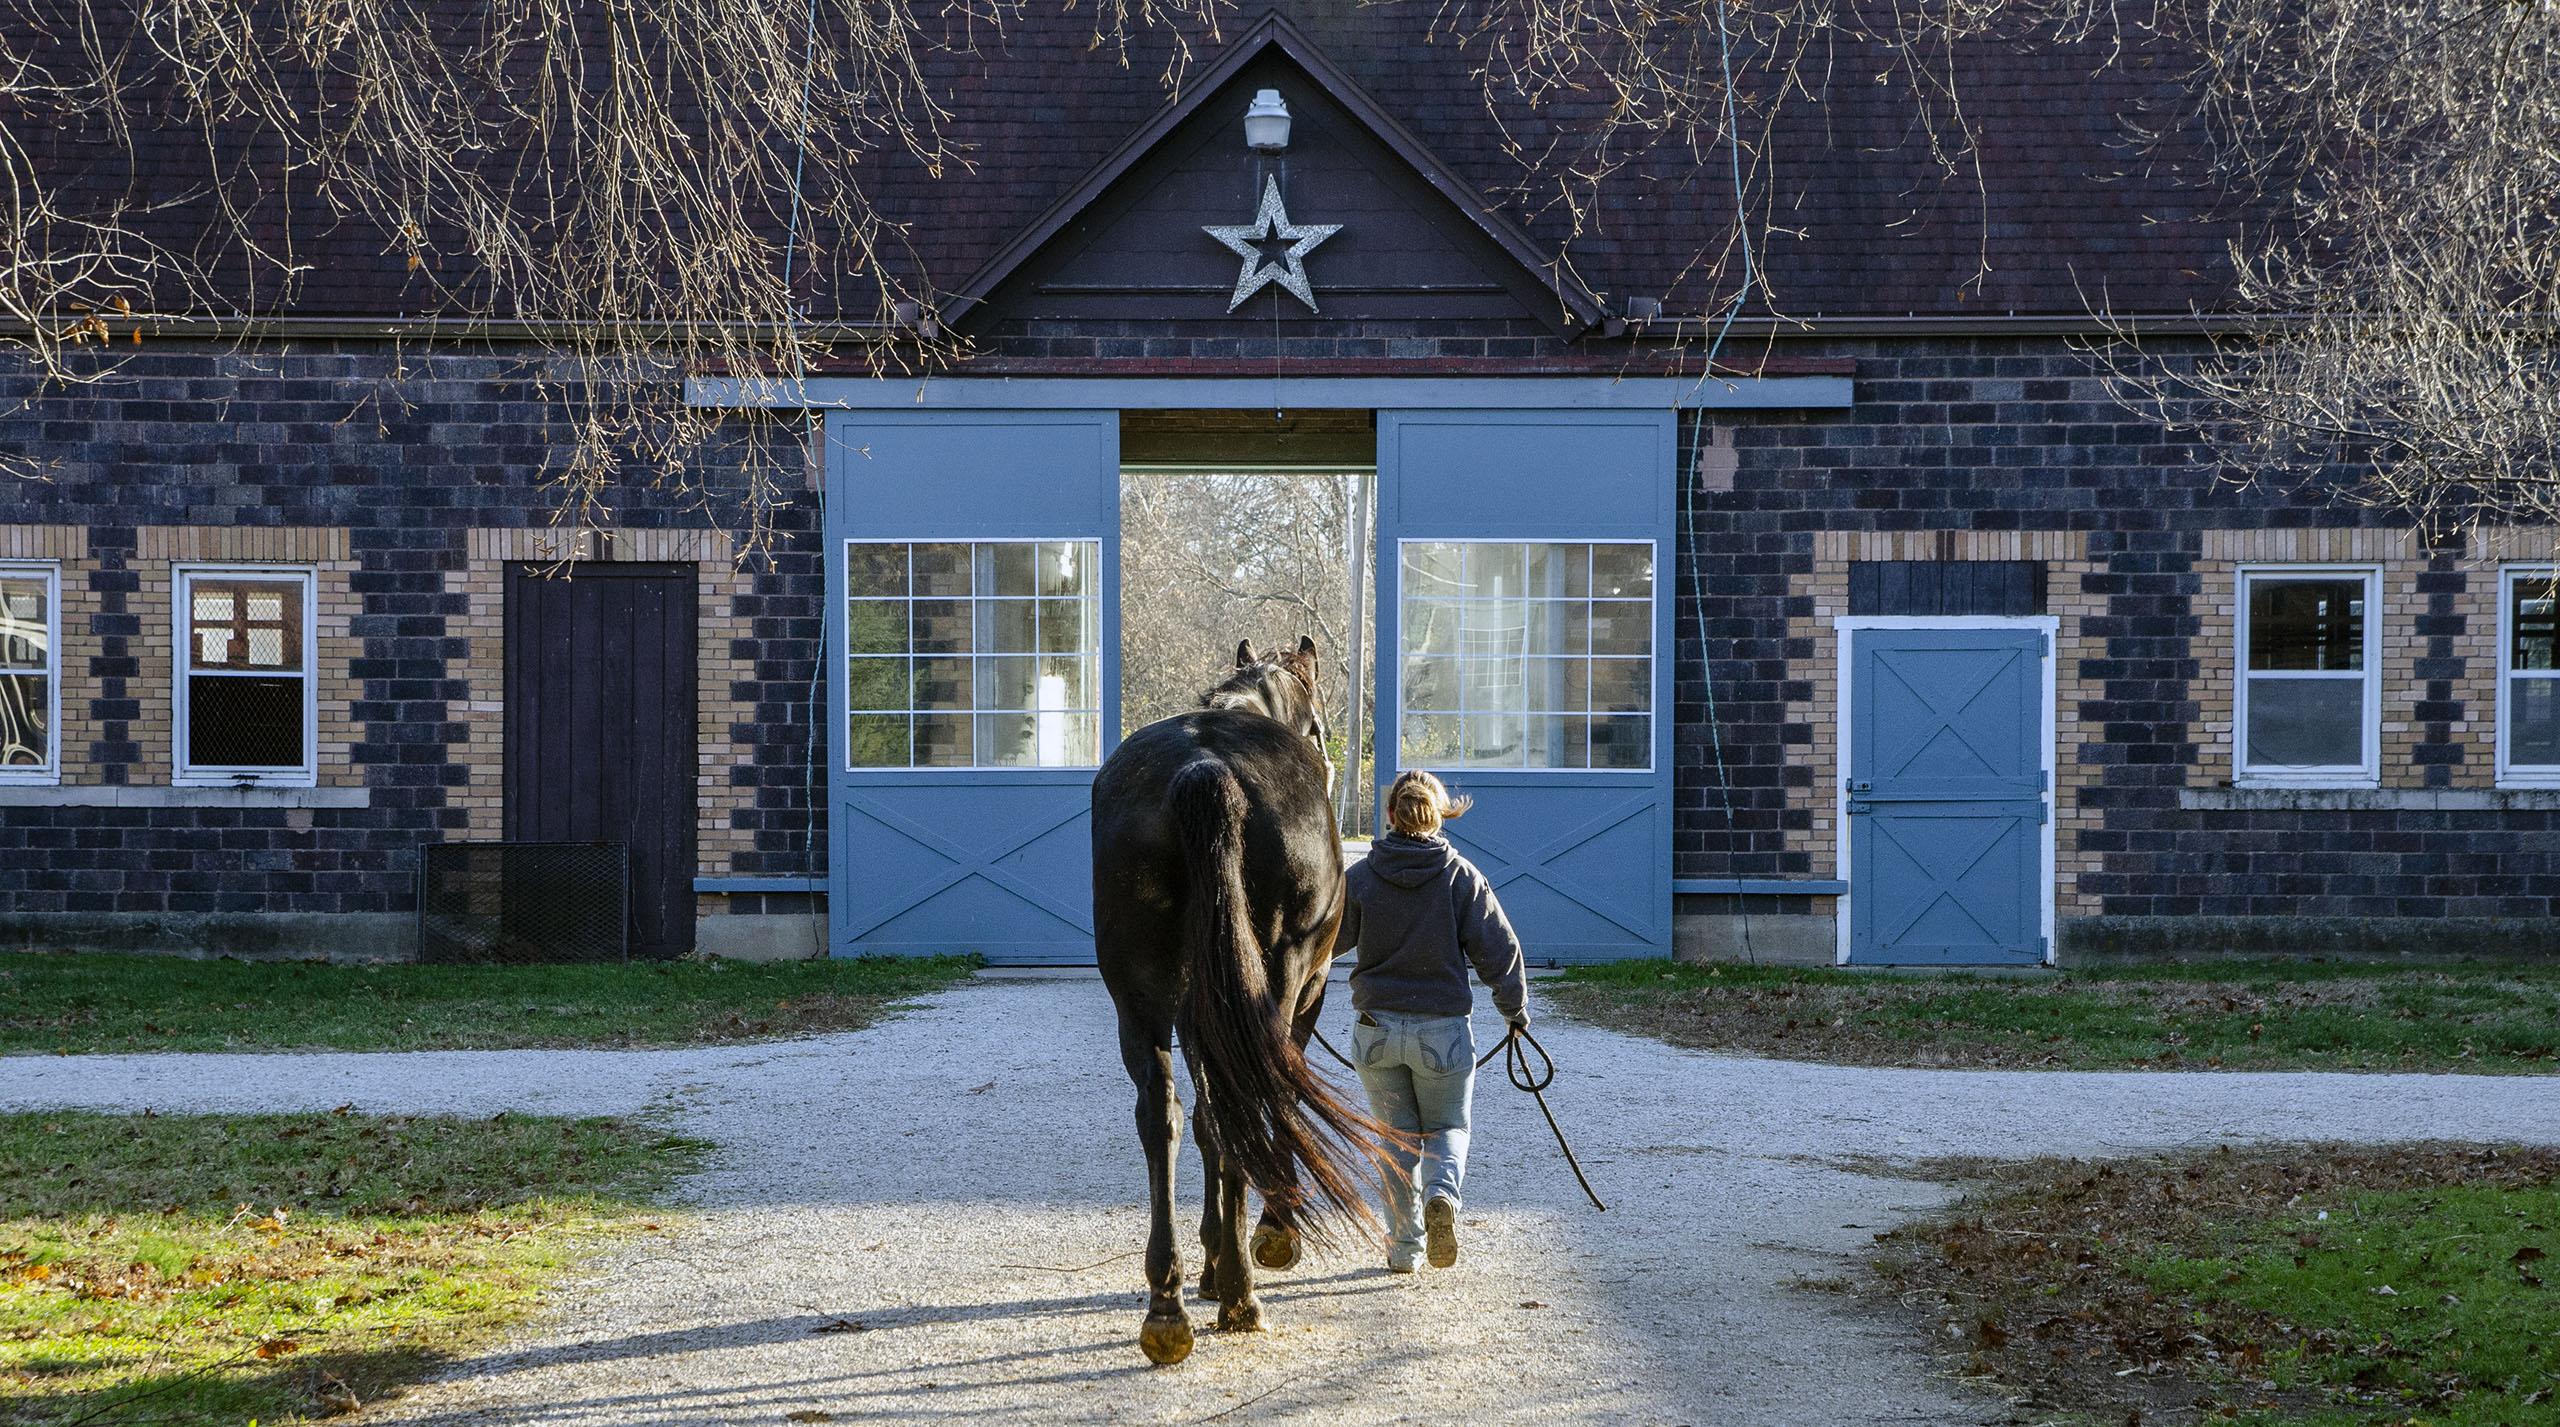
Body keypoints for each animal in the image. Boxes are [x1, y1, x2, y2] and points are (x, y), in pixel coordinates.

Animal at [1095, 635, 1392, 1352]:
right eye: (1318, 727)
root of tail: (1204, 771)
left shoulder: (1195, 1013)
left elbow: (1206, 1123)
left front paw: (1209, 1258)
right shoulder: (1304, 997)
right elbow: (1272, 1102)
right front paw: (1269, 1234)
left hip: (1140, 998)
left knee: (1164, 1114)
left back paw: (1168, 1302)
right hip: (1279, 984)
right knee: (1252, 1102)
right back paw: (1241, 1292)